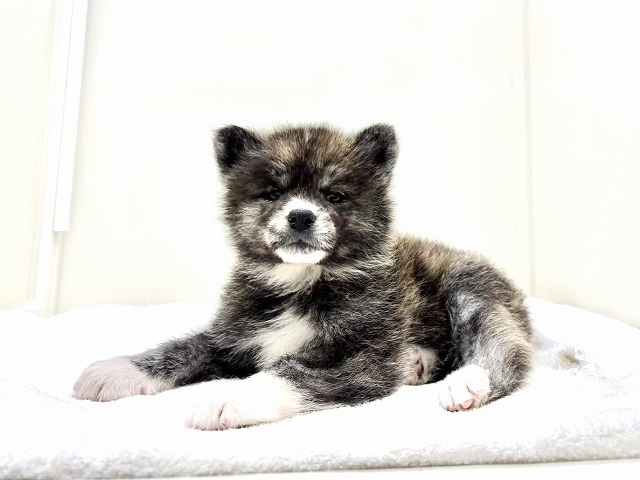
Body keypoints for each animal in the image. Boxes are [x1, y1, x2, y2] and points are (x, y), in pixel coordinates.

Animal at [73, 124, 534, 430]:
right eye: (273, 193)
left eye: (334, 196)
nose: (300, 216)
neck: (301, 284)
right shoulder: (235, 336)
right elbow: (184, 348)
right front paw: (119, 369)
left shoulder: (363, 359)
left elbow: (289, 373)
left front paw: (231, 394)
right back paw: (419, 362)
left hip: (468, 288)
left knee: (504, 348)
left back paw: (467, 382)